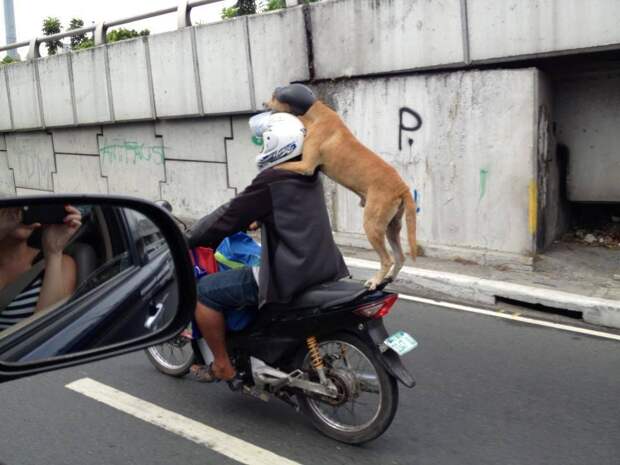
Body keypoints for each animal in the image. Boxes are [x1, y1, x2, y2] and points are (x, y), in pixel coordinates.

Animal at [262, 83, 416, 286]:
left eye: (274, 96)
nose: (263, 104)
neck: (314, 113)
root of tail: (402, 187)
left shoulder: (306, 166)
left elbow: (279, 165)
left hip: (372, 225)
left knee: (387, 259)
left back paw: (376, 280)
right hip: (391, 226)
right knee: (399, 257)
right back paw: (389, 277)